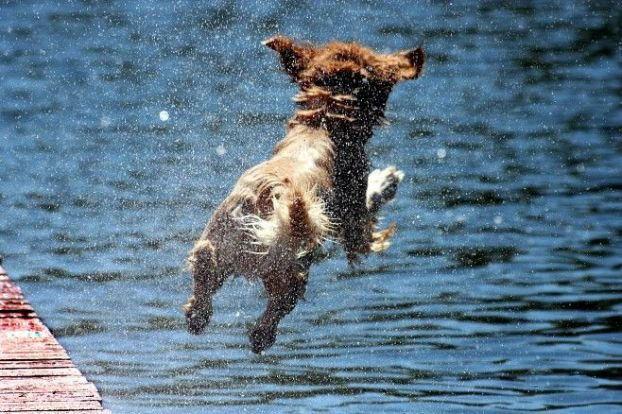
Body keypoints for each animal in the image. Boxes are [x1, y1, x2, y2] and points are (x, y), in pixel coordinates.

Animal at [180, 36, 424, 352]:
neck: (321, 122)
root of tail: (266, 197)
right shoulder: (354, 221)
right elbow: (368, 211)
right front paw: (387, 181)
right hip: (292, 267)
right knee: (274, 313)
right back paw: (262, 336)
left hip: (213, 245)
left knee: (202, 287)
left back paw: (197, 316)